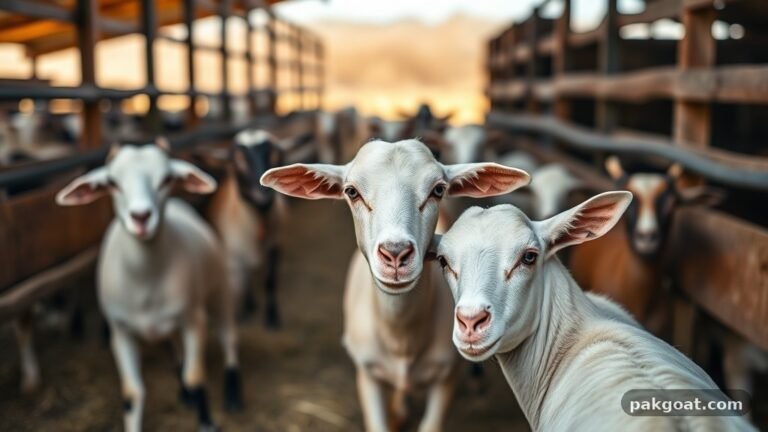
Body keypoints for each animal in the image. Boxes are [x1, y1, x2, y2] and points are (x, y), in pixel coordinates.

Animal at [55, 139, 243, 432]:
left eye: (167, 179)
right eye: (112, 182)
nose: (141, 217)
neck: (146, 281)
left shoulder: (194, 321)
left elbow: (195, 377)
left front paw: (206, 421)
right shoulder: (121, 333)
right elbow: (133, 393)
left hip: (218, 292)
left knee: (229, 338)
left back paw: (233, 396)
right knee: (178, 353)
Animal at [261, 139, 529, 432]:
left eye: (438, 190)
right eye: (352, 192)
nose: (396, 252)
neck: (401, 335)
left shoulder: (447, 377)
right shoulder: (367, 373)